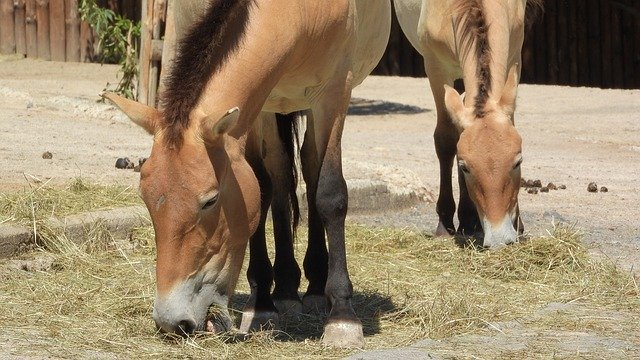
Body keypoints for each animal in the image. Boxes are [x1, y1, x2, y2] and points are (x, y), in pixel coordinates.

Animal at [104, 0, 390, 348]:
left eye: (210, 201)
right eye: (144, 198)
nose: (171, 321)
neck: (299, 11)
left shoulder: (334, 94)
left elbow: (330, 193)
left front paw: (343, 319)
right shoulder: (257, 107)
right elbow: (262, 189)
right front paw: (262, 304)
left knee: (310, 167)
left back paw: (316, 288)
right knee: (280, 175)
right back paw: (285, 290)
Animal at [392, 0, 544, 248]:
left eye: (518, 162)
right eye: (465, 167)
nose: (500, 238)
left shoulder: (515, 57)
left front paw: (518, 224)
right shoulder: (435, 67)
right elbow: (445, 140)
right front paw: (445, 223)